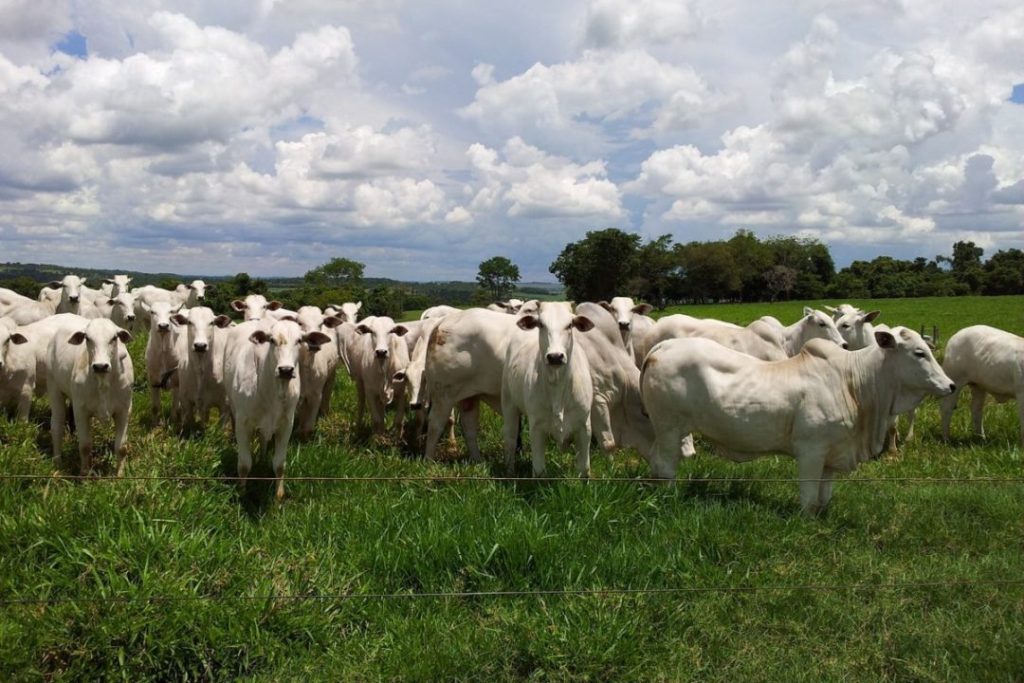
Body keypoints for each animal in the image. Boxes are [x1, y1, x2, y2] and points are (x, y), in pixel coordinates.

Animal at [47, 317, 134, 473]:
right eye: (87, 338)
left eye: (114, 338)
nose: (100, 366)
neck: (103, 383)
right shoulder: (81, 411)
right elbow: (85, 446)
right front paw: (85, 474)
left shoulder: (125, 410)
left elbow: (121, 447)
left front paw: (120, 474)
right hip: (54, 389)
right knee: (57, 425)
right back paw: (57, 463)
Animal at [223, 317, 327, 499]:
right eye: (271, 340)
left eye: (299, 340)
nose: (285, 370)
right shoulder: (243, 424)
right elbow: (244, 464)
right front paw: (242, 492)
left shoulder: (286, 424)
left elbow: (279, 464)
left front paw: (279, 495)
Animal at [501, 301, 598, 479]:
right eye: (541, 324)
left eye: (570, 325)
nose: (555, 357)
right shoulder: (537, 428)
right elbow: (539, 470)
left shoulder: (584, 427)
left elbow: (584, 469)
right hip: (508, 403)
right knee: (510, 439)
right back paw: (509, 471)